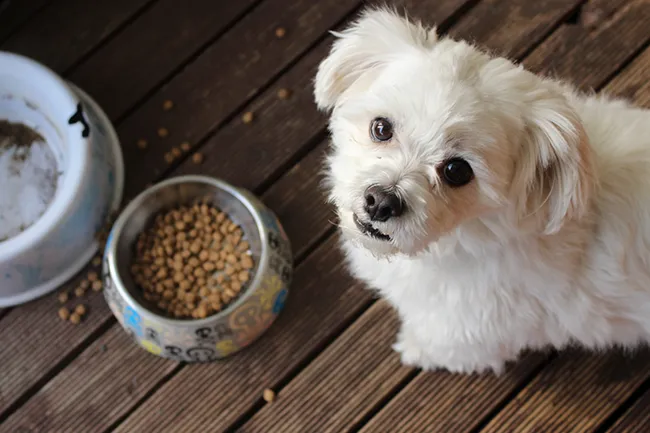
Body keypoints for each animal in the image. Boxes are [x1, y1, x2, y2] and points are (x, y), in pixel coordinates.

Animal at [314, 6, 650, 372]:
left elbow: (441, 345)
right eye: (381, 128)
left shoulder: (470, 333)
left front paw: (413, 347)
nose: (381, 202)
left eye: (457, 171)